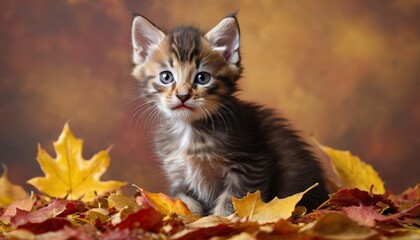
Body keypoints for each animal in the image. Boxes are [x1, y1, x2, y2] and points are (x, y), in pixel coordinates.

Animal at [130, 13, 328, 216]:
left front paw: (219, 220)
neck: (190, 130)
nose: (182, 96)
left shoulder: (249, 166)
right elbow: (185, 206)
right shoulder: (178, 175)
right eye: (166, 77)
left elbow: (229, 205)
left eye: (202, 78)